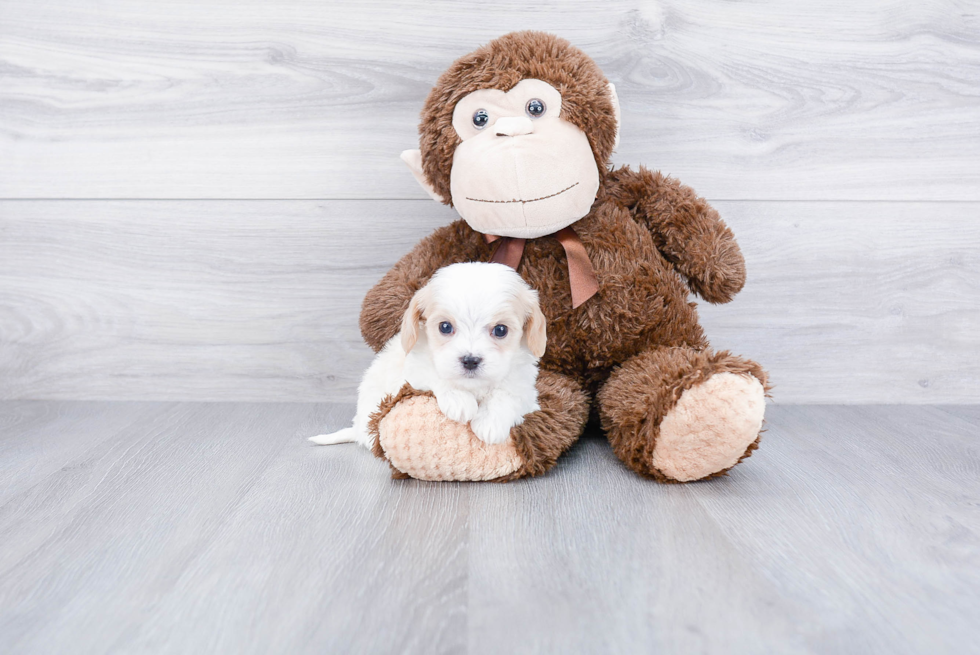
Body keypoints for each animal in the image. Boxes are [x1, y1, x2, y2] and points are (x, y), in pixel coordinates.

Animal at [310, 264, 548, 448]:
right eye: (445, 327)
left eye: (500, 330)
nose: (470, 361)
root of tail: (357, 427)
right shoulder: (413, 371)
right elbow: (434, 375)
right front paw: (459, 400)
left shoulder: (525, 389)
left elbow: (507, 395)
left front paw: (491, 423)